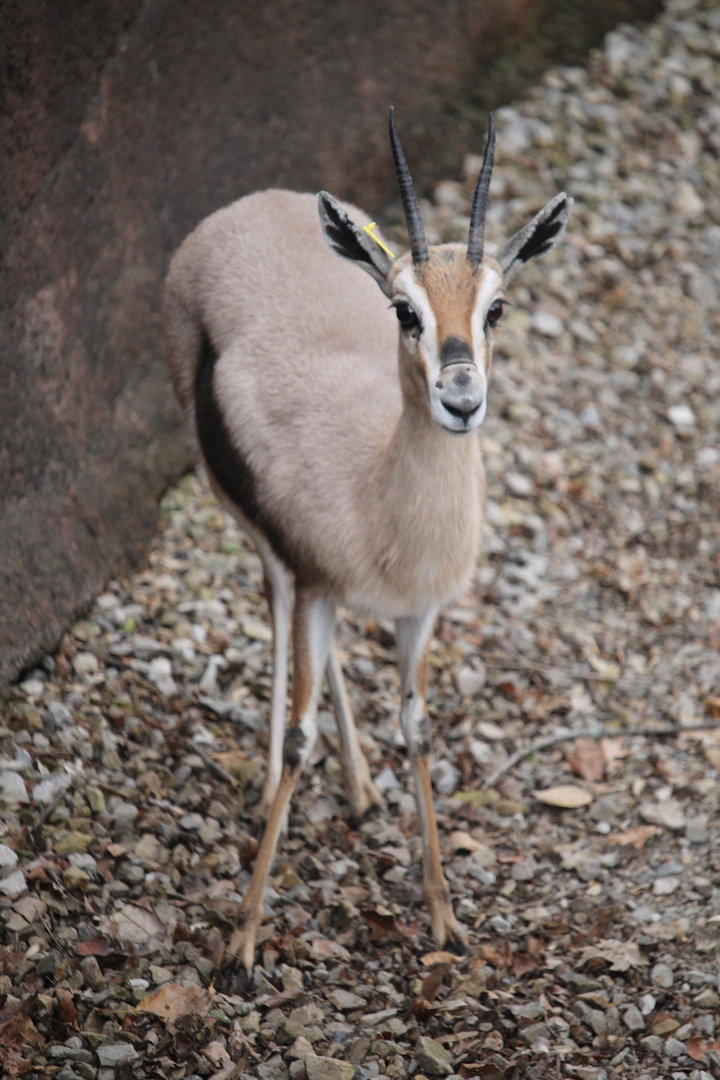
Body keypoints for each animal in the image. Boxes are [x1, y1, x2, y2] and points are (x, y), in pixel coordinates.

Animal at [163, 109, 572, 981]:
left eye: (495, 308)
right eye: (404, 311)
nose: (461, 399)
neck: (378, 491)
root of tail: (245, 207)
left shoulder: (420, 613)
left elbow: (416, 728)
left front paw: (445, 917)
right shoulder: (315, 580)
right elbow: (297, 737)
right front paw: (242, 940)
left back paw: (358, 789)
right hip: (247, 523)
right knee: (274, 604)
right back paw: (272, 794)